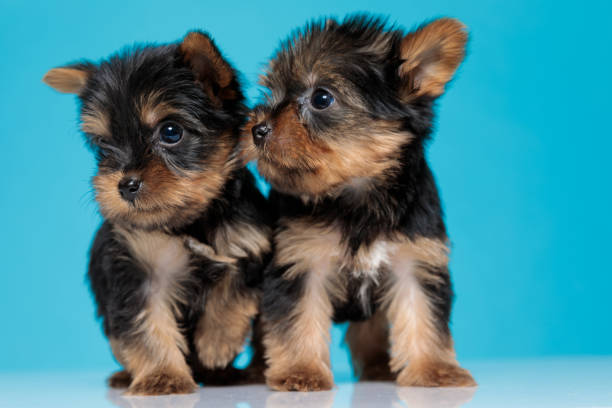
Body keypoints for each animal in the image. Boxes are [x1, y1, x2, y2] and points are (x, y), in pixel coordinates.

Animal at [43, 31, 270, 396]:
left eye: (171, 131)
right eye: (103, 145)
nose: (125, 185)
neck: (188, 221)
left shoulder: (247, 242)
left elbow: (233, 287)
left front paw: (217, 344)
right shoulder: (140, 270)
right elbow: (148, 324)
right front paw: (163, 377)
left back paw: (226, 373)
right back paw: (126, 376)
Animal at [244, 15, 478, 390]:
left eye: (322, 98)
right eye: (272, 94)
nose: (257, 129)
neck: (357, 195)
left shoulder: (415, 257)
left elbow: (422, 312)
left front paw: (434, 370)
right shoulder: (301, 260)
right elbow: (297, 319)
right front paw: (301, 371)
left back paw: (378, 367)